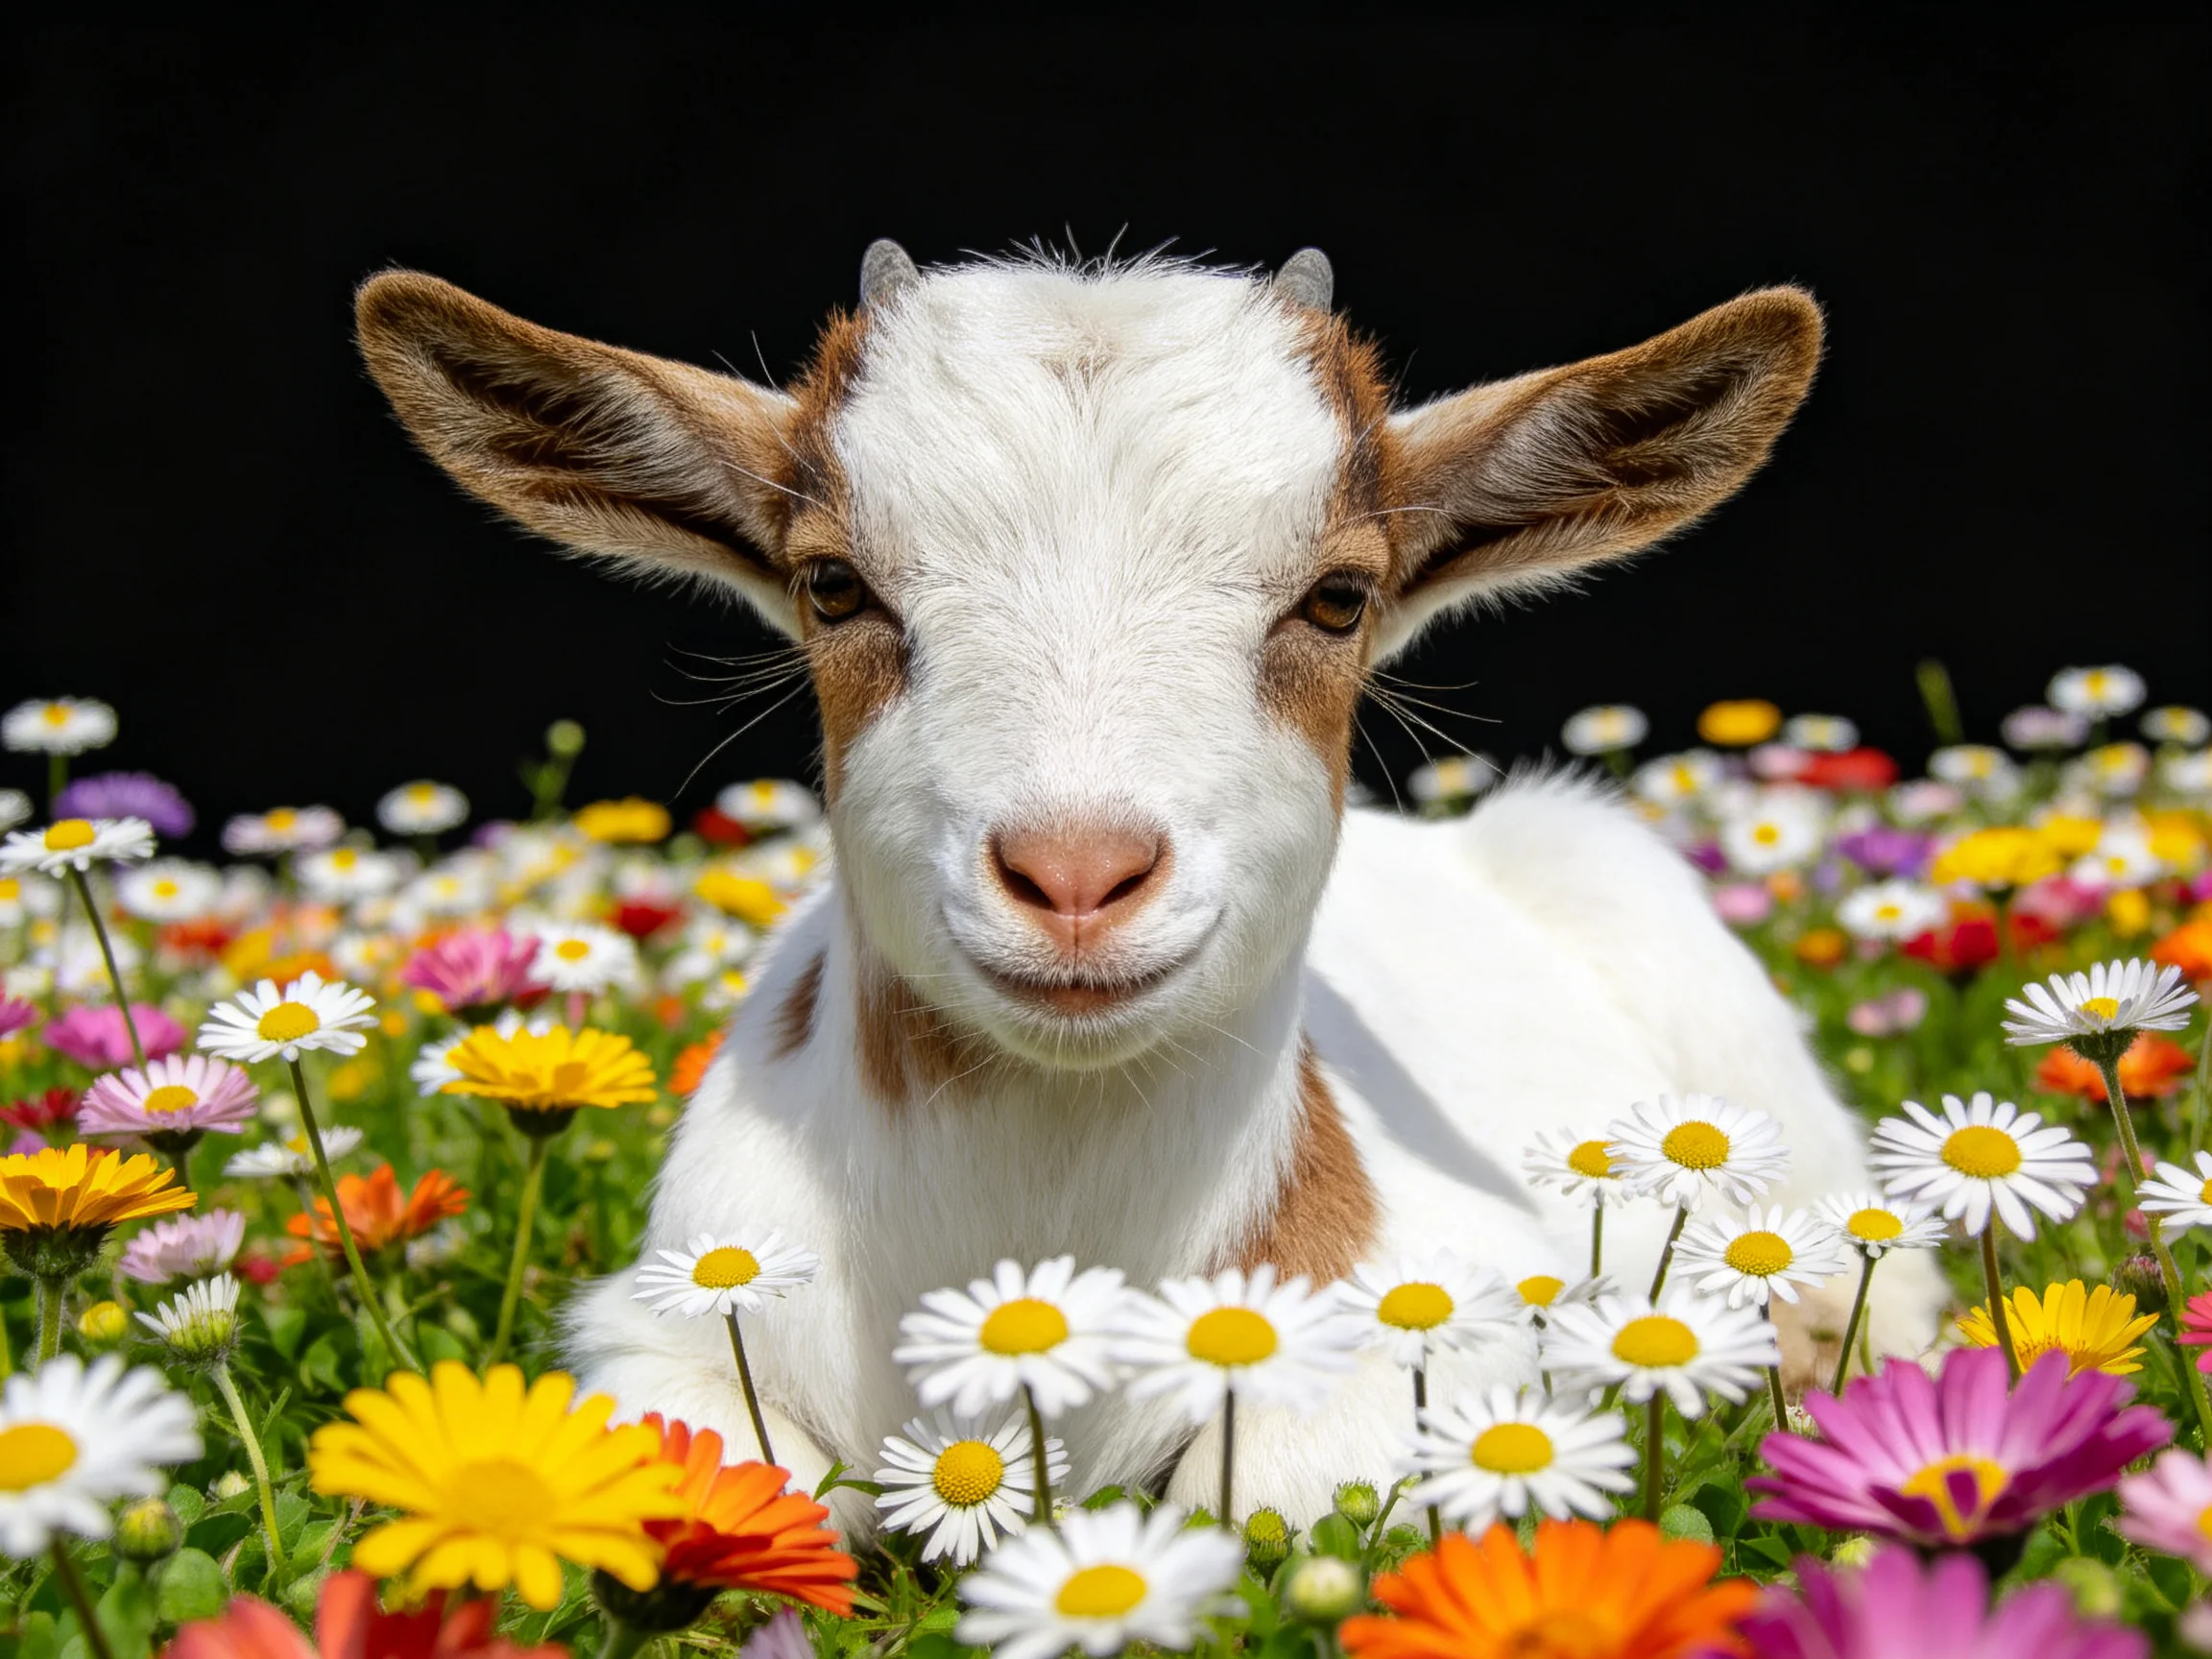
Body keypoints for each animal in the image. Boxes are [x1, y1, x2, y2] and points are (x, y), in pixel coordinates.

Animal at [355, 243, 1946, 1527]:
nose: (1075, 876)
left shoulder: (1472, 1309)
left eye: (1338, 597)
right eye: (831, 584)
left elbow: (1279, 1488)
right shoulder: (670, 1326)